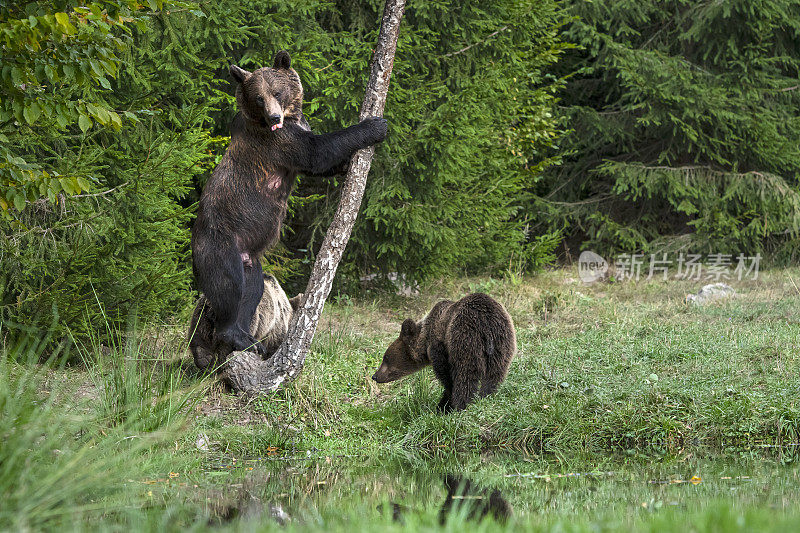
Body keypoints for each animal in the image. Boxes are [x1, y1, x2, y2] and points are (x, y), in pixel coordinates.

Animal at [191, 51, 384, 358]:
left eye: (277, 92)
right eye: (258, 98)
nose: (274, 116)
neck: (289, 118)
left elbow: (316, 165)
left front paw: (347, 166)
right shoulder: (277, 142)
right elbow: (317, 151)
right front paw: (375, 125)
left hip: (249, 258)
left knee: (252, 290)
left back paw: (249, 338)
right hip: (218, 246)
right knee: (229, 288)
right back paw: (236, 336)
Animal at [372, 290, 516, 412]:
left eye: (385, 358)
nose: (375, 376)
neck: (426, 339)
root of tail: (486, 322)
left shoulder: (439, 347)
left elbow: (446, 376)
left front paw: (443, 405)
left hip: (464, 338)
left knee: (465, 375)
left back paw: (461, 405)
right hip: (502, 343)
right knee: (494, 374)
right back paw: (486, 395)